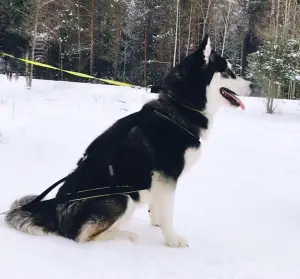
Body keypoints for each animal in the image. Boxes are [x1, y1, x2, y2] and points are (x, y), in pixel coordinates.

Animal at [4, 35, 253, 249]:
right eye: (228, 72)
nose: (252, 85)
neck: (178, 109)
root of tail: (55, 209)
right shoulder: (167, 176)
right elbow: (169, 213)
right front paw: (172, 239)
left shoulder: (160, 182)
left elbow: (158, 207)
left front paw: (156, 222)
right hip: (122, 197)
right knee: (82, 236)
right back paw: (124, 236)